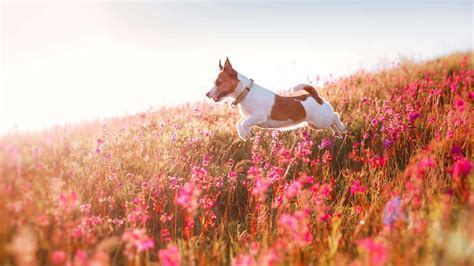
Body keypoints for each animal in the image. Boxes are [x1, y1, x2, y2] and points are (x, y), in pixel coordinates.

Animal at [206, 57, 346, 141]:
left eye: (218, 82)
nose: (207, 94)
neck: (246, 92)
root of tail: (315, 96)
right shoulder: (250, 117)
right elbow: (239, 123)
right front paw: (245, 134)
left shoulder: (259, 116)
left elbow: (244, 123)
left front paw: (246, 133)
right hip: (315, 125)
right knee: (332, 123)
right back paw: (337, 133)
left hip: (321, 120)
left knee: (335, 115)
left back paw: (342, 128)